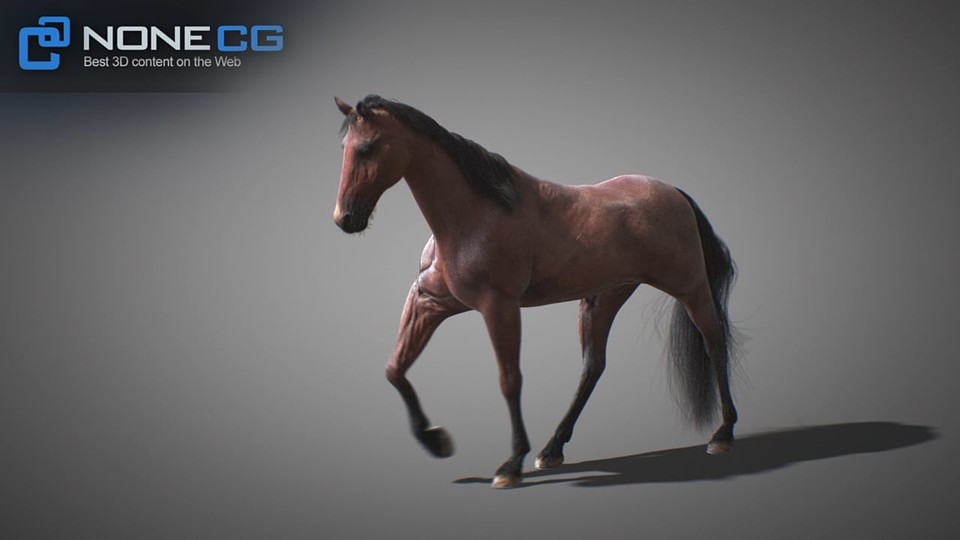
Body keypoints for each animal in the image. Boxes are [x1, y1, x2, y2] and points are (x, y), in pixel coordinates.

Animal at [332, 95, 738, 489]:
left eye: (367, 148)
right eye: (344, 147)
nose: (345, 219)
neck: (476, 213)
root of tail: (674, 193)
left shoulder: (499, 306)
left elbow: (509, 380)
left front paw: (511, 464)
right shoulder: (428, 302)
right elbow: (395, 369)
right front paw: (436, 440)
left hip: (689, 288)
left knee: (714, 340)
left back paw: (723, 433)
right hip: (602, 299)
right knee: (593, 366)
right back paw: (552, 448)